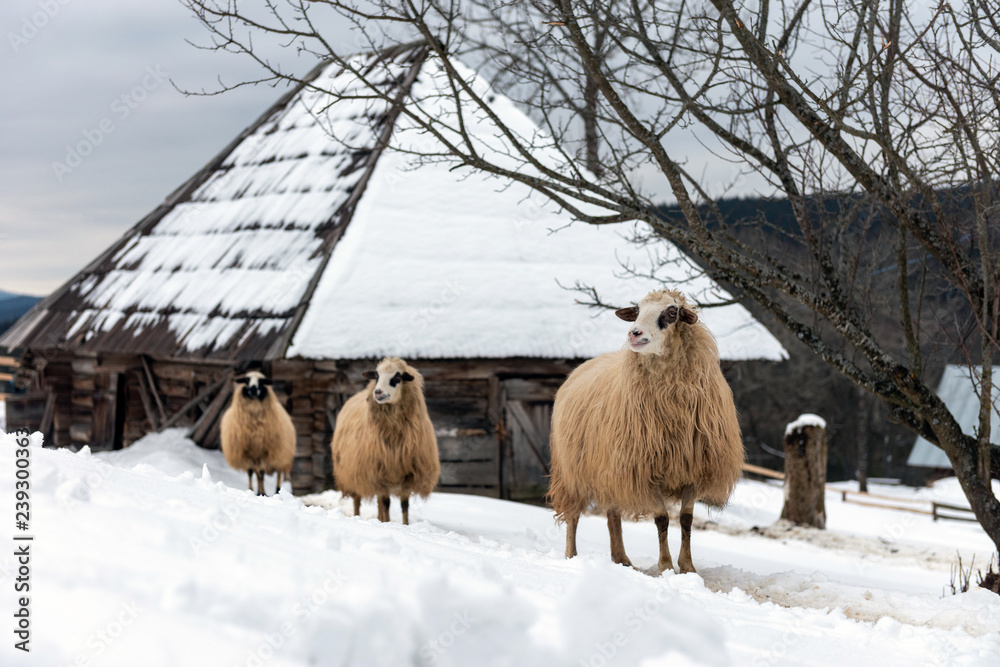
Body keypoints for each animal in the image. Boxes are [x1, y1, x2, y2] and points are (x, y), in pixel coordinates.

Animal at [330, 358, 440, 524]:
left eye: (397, 377)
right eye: (376, 376)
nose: (377, 392)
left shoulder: (408, 474)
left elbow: (404, 505)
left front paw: (405, 525)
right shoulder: (379, 473)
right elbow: (386, 502)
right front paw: (387, 523)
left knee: (378, 503)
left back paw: (379, 519)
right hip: (353, 473)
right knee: (358, 500)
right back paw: (358, 516)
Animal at [548, 288, 744, 576]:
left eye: (672, 312)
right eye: (637, 310)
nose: (634, 333)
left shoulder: (694, 470)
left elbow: (686, 520)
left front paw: (688, 567)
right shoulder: (644, 471)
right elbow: (662, 519)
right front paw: (665, 567)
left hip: (611, 471)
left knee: (613, 515)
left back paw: (621, 559)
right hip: (571, 471)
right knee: (573, 515)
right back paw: (572, 556)